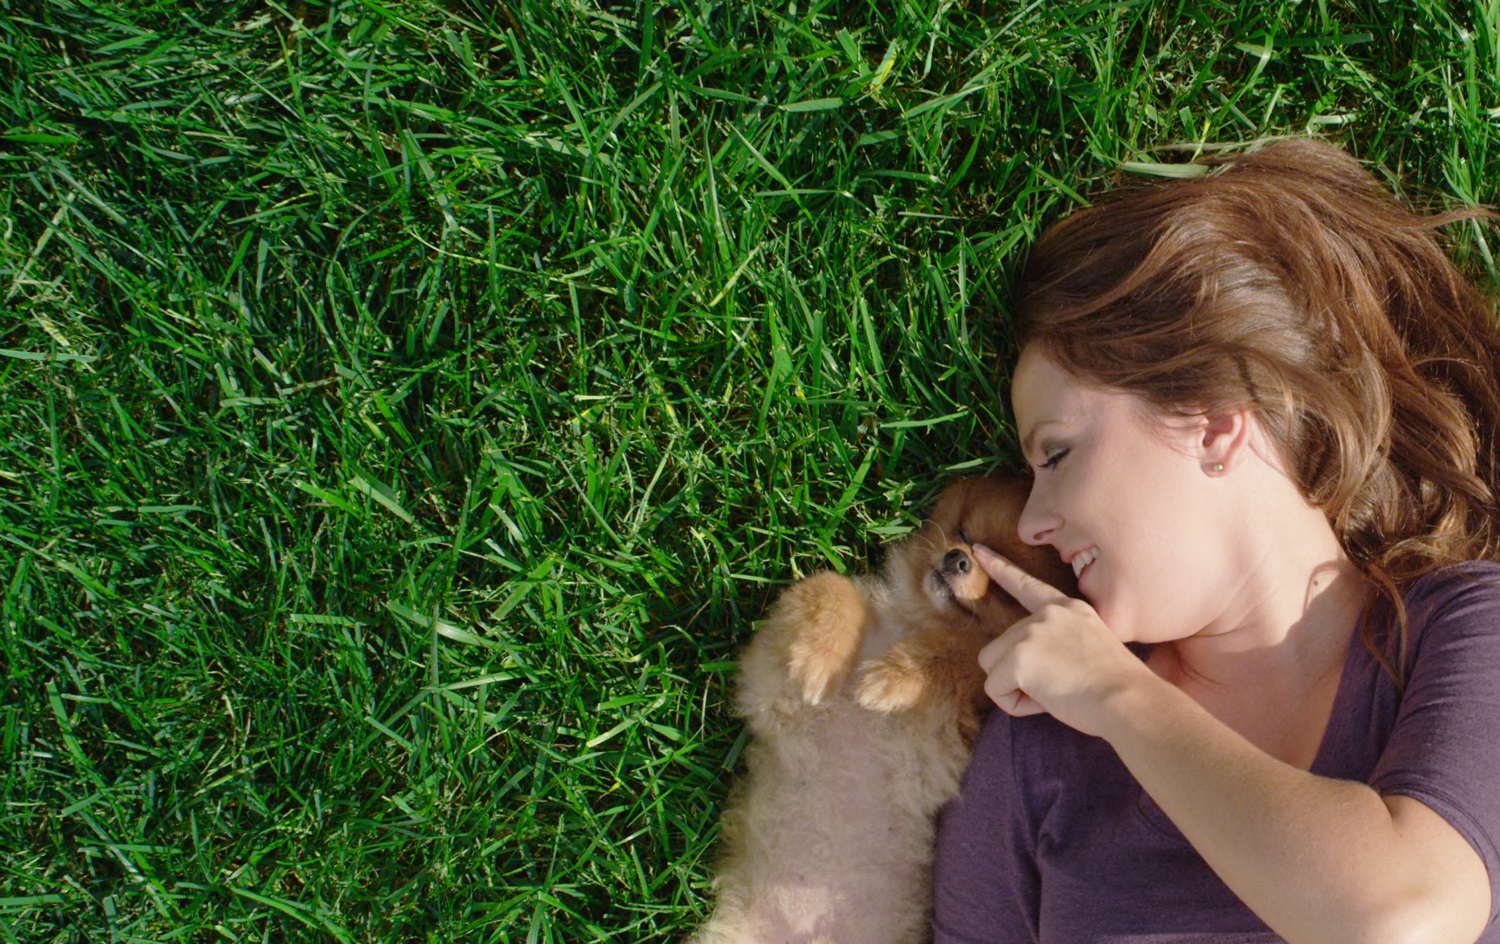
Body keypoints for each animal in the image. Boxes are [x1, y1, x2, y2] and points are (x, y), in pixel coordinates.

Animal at [690, 477, 1080, 942]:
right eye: (963, 533)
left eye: (1003, 591)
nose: (957, 559)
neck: (908, 623)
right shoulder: (766, 682)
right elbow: (830, 586)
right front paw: (819, 658)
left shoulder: (941, 731)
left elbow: (960, 655)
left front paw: (890, 677)